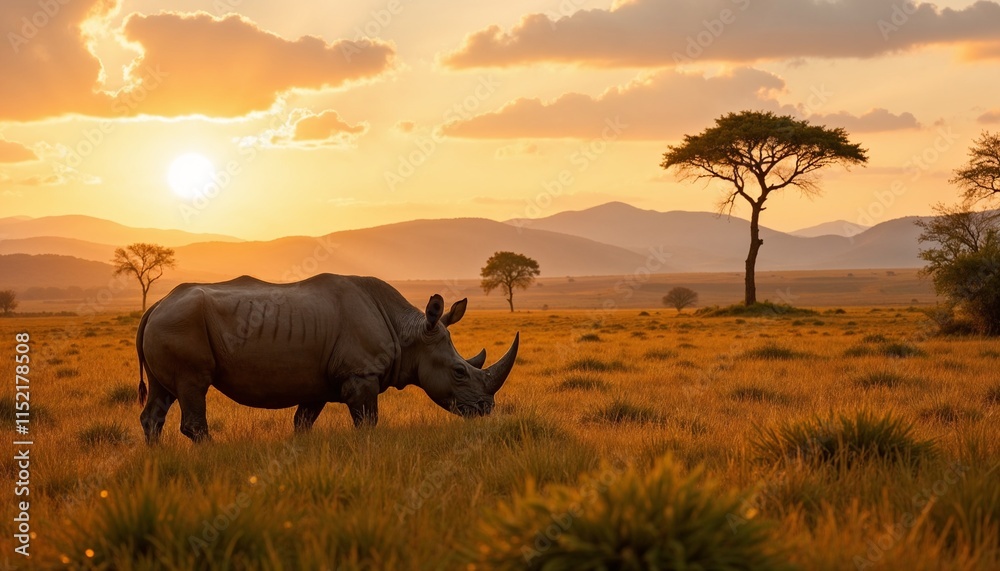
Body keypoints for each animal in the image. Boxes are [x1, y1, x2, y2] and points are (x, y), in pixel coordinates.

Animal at [136, 274, 518, 443]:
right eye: (459, 372)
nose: (486, 409)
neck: (409, 332)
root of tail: (154, 306)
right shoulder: (361, 375)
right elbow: (367, 422)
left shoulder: (316, 384)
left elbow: (302, 424)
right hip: (179, 324)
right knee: (193, 386)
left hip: (167, 324)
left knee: (160, 398)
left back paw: (156, 461)